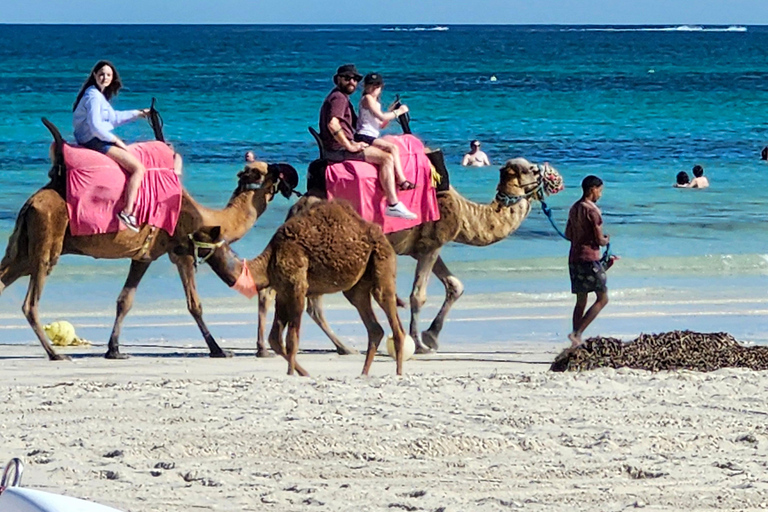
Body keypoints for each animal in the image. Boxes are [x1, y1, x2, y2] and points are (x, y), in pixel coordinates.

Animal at [0, 120, 299, 360]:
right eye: (266, 171)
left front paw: (114, 350)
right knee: (30, 302)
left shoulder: (144, 255)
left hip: (24, 247)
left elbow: (125, 301)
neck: (203, 215)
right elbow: (195, 304)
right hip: (47, 239)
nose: (287, 171)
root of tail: (32, 203)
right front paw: (219, 350)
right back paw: (55, 354)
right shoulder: (182, 250)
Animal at [184, 200, 407, 376]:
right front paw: (303, 373)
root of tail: (379, 233)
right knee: (374, 328)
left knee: (395, 324)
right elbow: (275, 339)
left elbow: (292, 340)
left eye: (196, 237)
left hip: (382, 266)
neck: (267, 263)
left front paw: (292, 374)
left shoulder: (297, 288)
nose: (179, 246)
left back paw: (398, 373)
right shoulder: (283, 293)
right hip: (356, 288)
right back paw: (364, 373)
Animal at [258, 157, 561, 354]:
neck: (465, 213)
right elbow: (418, 295)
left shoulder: (424, 248)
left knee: (291, 295)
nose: (557, 178)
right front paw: (421, 342)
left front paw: (432, 336)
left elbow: (455, 285)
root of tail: (298, 207)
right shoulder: (434, 243)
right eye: (533, 169)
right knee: (302, 298)